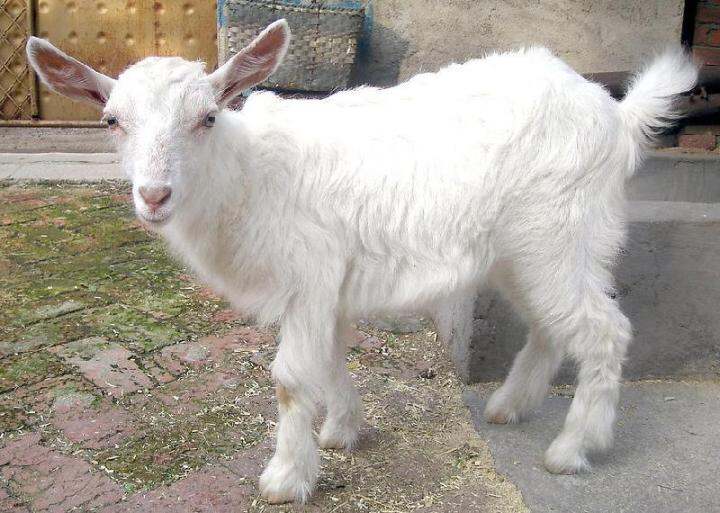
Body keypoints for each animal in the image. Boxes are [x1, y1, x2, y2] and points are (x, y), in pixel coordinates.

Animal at [27, 20, 698, 504]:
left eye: (208, 117)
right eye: (112, 120)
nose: (154, 196)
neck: (249, 175)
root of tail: (617, 115)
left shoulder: (309, 276)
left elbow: (291, 378)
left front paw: (286, 478)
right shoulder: (328, 288)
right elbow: (329, 360)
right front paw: (342, 431)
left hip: (560, 234)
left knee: (604, 331)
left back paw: (573, 449)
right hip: (530, 251)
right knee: (553, 325)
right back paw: (511, 407)